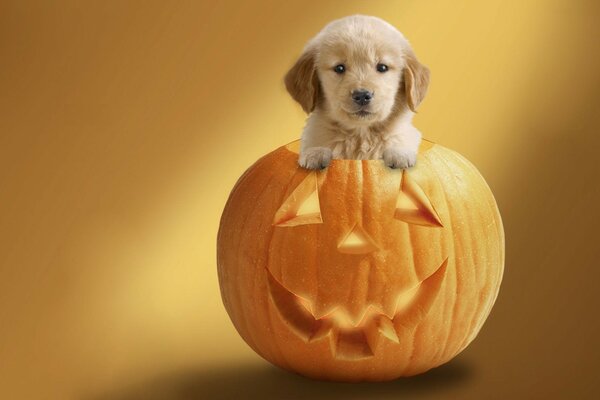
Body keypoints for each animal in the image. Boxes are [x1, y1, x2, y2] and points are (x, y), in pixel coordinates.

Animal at [284, 14, 428, 169]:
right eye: (339, 68)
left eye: (382, 67)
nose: (362, 96)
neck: (361, 134)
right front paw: (316, 152)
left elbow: (399, 138)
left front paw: (399, 153)